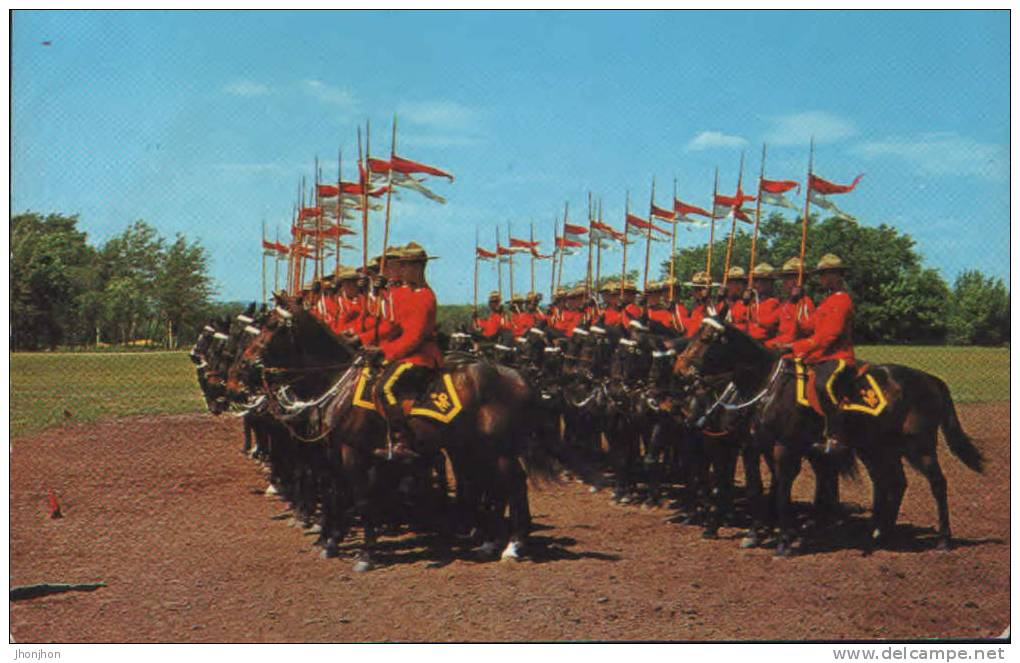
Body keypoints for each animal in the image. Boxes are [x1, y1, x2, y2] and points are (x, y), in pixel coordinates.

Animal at [673, 314, 983, 550]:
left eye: (706, 339)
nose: (680, 369)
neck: (766, 387)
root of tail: (930, 379)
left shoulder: (782, 448)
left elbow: (780, 489)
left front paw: (783, 539)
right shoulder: (753, 446)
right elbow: (754, 488)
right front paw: (754, 532)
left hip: (919, 446)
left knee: (937, 483)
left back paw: (943, 538)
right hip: (878, 448)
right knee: (893, 483)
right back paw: (879, 534)